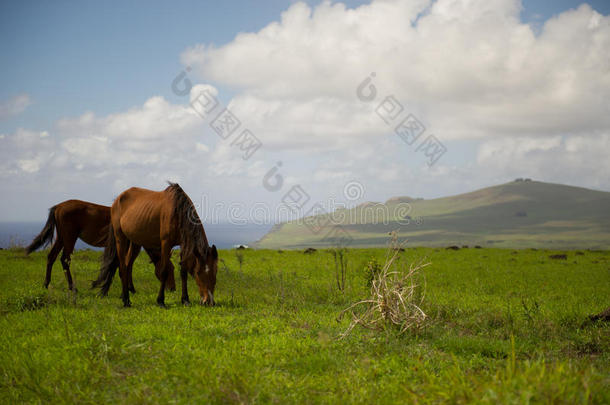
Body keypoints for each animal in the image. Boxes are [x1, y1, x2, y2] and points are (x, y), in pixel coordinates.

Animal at [25, 199, 175, 290]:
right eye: (170, 269)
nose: (172, 288)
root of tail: (58, 206)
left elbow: (126, 263)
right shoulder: (131, 245)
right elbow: (127, 263)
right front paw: (129, 288)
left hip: (61, 238)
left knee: (51, 257)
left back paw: (46, 284)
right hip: (69, 237)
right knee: (64, 259)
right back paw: (72, 287)